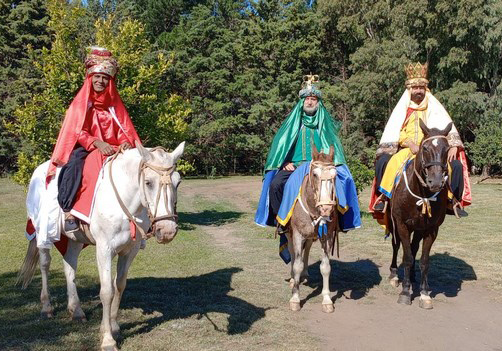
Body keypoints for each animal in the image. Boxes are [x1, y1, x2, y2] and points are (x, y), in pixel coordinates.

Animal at [18, 143, 186, 351]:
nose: (167, 230)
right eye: (148, 182)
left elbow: (119, 285)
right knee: (45, 265)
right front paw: (107, 339)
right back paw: (47, 308)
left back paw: (76, 311)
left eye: (178, 182)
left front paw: (114, 327)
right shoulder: (104, 249)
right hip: (42, 232)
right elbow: (107, 291)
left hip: (74, 240)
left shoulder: (129, 251)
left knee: (69, 267)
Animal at [284, 146, 340, 314]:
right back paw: (292, 279)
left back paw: (305, 274)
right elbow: (297, 264)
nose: (326, 208)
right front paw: (295, 299)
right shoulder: (297, 234)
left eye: (335, 175)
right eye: (315, 174)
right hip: (289, 233)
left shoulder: (327, 236)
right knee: (292, 252)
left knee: (307, 249)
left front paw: (327, 300)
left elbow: (325, 267)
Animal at [386, 119, 452, 310]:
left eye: (447, 149)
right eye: (425, 148)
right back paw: (395, 275)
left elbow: (424, 260)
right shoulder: (402, 225)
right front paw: (405, 292)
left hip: (419, 228)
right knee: (396, 246)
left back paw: (413, 276)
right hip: (394, 224)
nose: (435, 182)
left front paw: (424, 293)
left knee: (414, 247)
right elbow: (407, 257)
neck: (422, 193)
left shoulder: (431, 229)